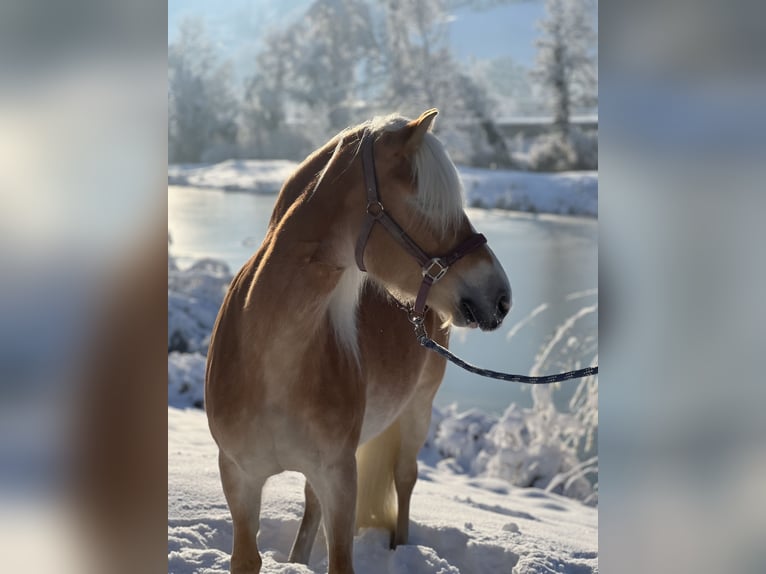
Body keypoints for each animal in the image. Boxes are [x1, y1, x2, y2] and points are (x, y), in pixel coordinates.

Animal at [207, 109, 512, 574]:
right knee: (312, 503)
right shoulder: (239, 477)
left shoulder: (340, 477)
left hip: (417, 410)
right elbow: (247, 557)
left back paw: (399, 548)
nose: (500, 296)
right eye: (428, 205)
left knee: (404, 479)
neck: (274, 363)